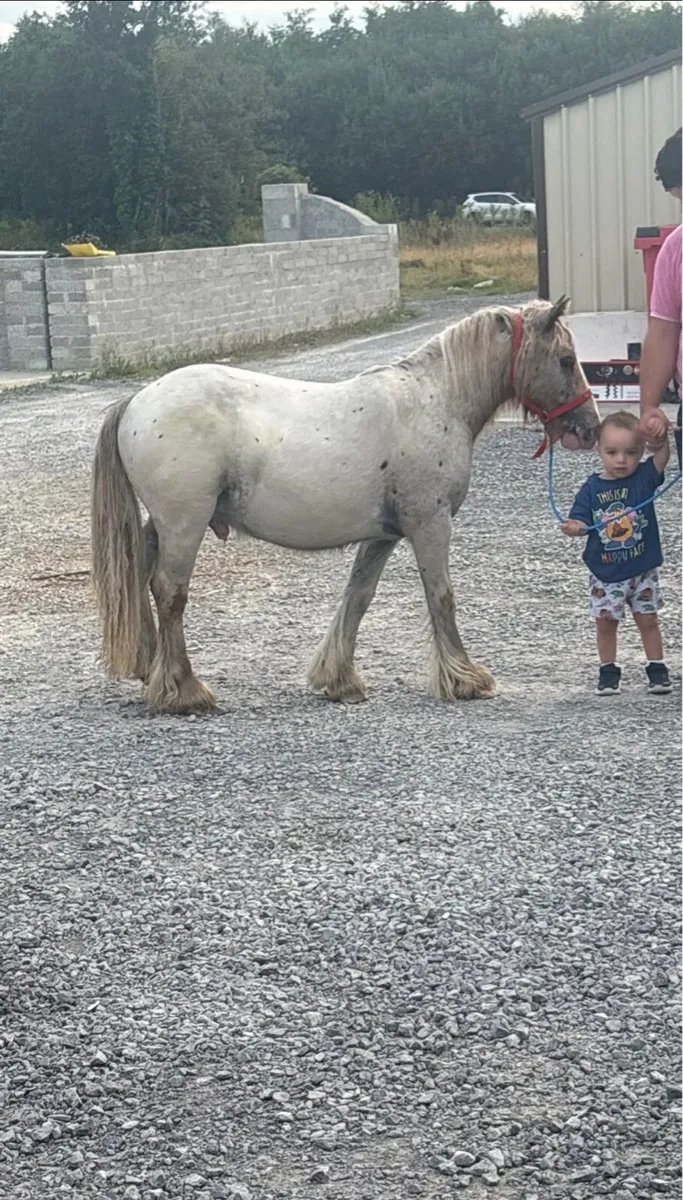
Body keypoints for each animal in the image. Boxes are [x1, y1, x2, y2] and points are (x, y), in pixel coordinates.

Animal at [90, 296, 599, 714]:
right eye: (566, 359)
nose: (589, 428)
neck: (434, 400)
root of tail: (138, 400)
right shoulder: (429, 524)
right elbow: (441, 596)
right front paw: (464, 679)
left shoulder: (382, 536)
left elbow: (358, 597)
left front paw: (339, 679)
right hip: (185, 524)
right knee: (170, 593)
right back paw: (183, 690)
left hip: (162, 525)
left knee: (141, 575)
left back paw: (150, 670)